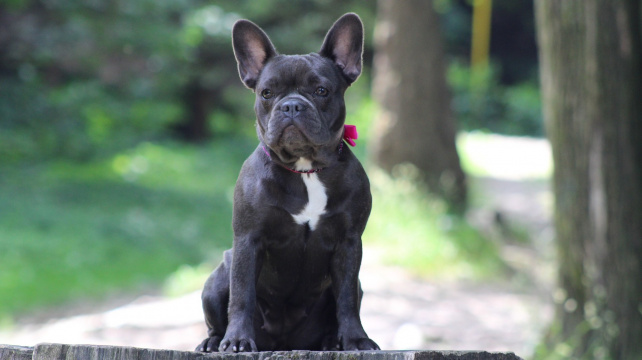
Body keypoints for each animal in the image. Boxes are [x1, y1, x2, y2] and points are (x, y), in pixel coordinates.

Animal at [192, 13, 378, 352]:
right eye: (266, 93)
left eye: (321, 90)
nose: (291, 105)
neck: (306, 170)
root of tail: (283, 342)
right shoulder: (248, 240)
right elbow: (242, 295)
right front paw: (237, 340)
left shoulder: (349, 243)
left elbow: (346, 299)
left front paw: (356, 339)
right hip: (217, 277)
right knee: (220, 307)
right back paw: (214, 341)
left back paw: (332, 341)